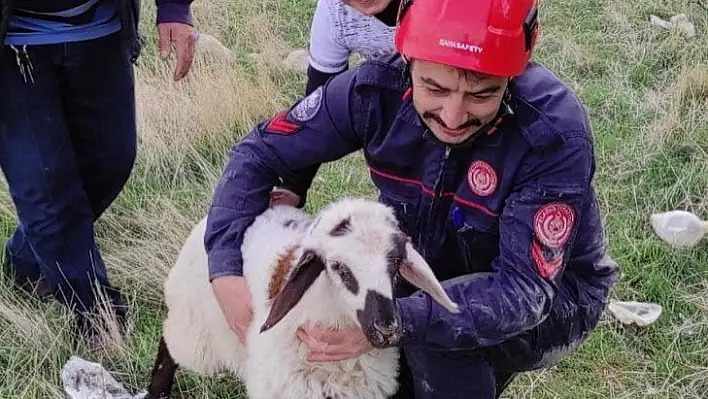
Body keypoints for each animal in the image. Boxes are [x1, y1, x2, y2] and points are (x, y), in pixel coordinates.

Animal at [147, 198, 462, 399]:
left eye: (396, 262)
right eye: (336, 266)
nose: (386, 329)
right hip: (194, 328)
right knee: (169, 343)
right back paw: (156, 391)